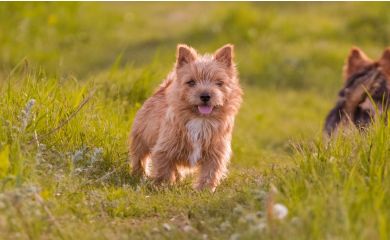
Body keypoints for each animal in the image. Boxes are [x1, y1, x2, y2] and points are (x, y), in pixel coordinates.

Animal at [129, 43, 242, 191]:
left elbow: (210, 173)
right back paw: (138, 175)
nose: (205, 96)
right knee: (139, 157)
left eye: (219, 83)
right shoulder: (164, 149)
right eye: (191, 82)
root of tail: (161, 90)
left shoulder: (215, 154)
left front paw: (204, 190)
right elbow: (163, 170)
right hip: (141, 139)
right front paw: (162, 186)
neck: (201, 120)